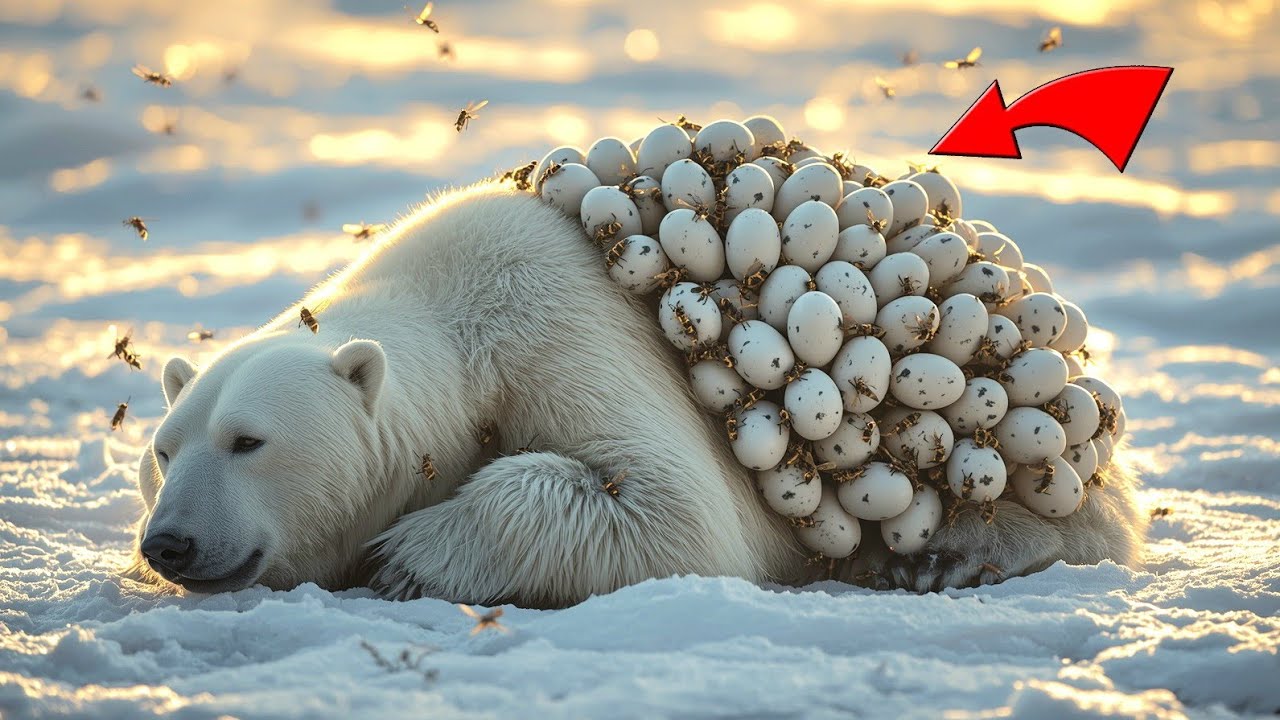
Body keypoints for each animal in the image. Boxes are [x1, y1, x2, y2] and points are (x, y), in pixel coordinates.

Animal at [128, 181, 1147, 607]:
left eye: (249, 441)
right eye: (163, 450)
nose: (167, 542)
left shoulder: (552, 332)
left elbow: (673, 511)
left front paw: (407, 557)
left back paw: (949, 556)